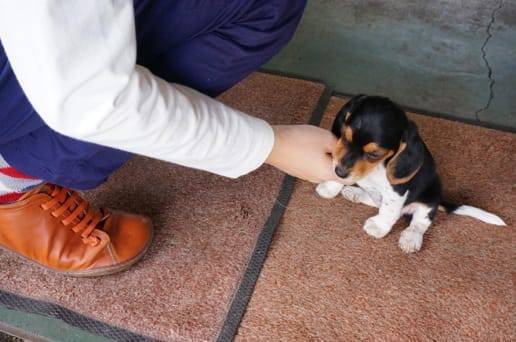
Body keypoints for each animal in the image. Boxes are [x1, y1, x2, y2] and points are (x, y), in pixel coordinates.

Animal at [316, 95, 506, 252]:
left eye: (374, 154)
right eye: (344, 136)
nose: (339, 172)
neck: (376, 167)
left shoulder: (397, 191)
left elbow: (388, 210)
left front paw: (378, 227)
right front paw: (330, 187)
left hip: (429, 199)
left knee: (419, 222)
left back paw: (410, 238)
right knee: (376, 201)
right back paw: (354, 192)